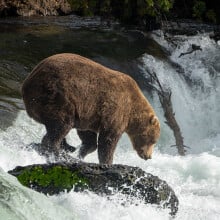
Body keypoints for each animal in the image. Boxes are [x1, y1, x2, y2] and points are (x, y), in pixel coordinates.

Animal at [21, 52, 160, 163]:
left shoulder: (89, 114)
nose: (148, 156)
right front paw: (107, 162)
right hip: (57, 95)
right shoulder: (117, 110)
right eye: (153, 140)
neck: (132, 113)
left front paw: (82, 153)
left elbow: (88, 135)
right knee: (61, 125)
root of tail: (27, 84)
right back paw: (56, 151)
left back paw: (66, 147)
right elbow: (108, 140)